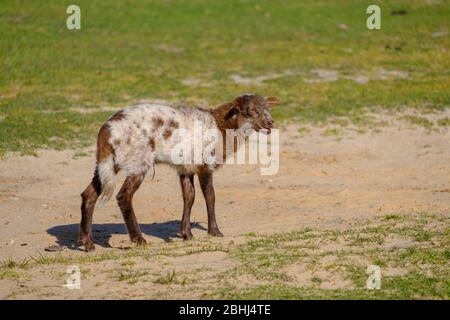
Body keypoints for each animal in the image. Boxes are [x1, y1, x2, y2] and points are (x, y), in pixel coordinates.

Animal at [79, 94, 280, 251]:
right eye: (250, 110)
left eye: (267, 108)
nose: (270, 123)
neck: (222, 127)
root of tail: (107, 129)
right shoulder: (204, 163)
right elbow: (210, 196)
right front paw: (215, 231)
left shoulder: (186, 167)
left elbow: (189, 196)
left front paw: (186, 234)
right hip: (138, 160)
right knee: (123, 196)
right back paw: (138, 239)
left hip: (108, 162)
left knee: (89, 194)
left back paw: (88, 244)